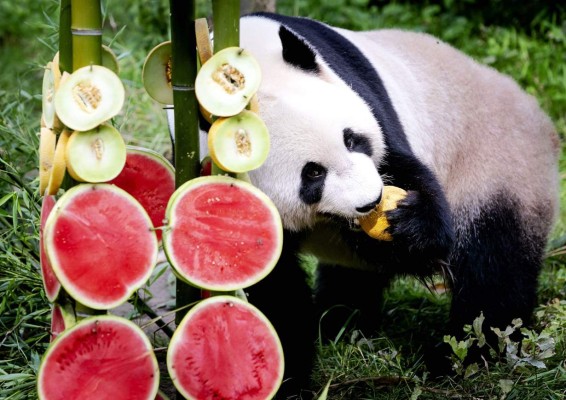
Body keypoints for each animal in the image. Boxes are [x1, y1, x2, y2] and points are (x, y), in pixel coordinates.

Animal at [193, 12, 560, 396]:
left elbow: (403, 172)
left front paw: (411, 223)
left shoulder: (364, 97)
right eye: (313, 174)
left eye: (352, 139)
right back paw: (341, 324)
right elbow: (272, 291)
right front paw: (282, 377)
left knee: (493, 271)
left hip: (495, 164)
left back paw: (466, 357)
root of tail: (540, 119)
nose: (371, 202)